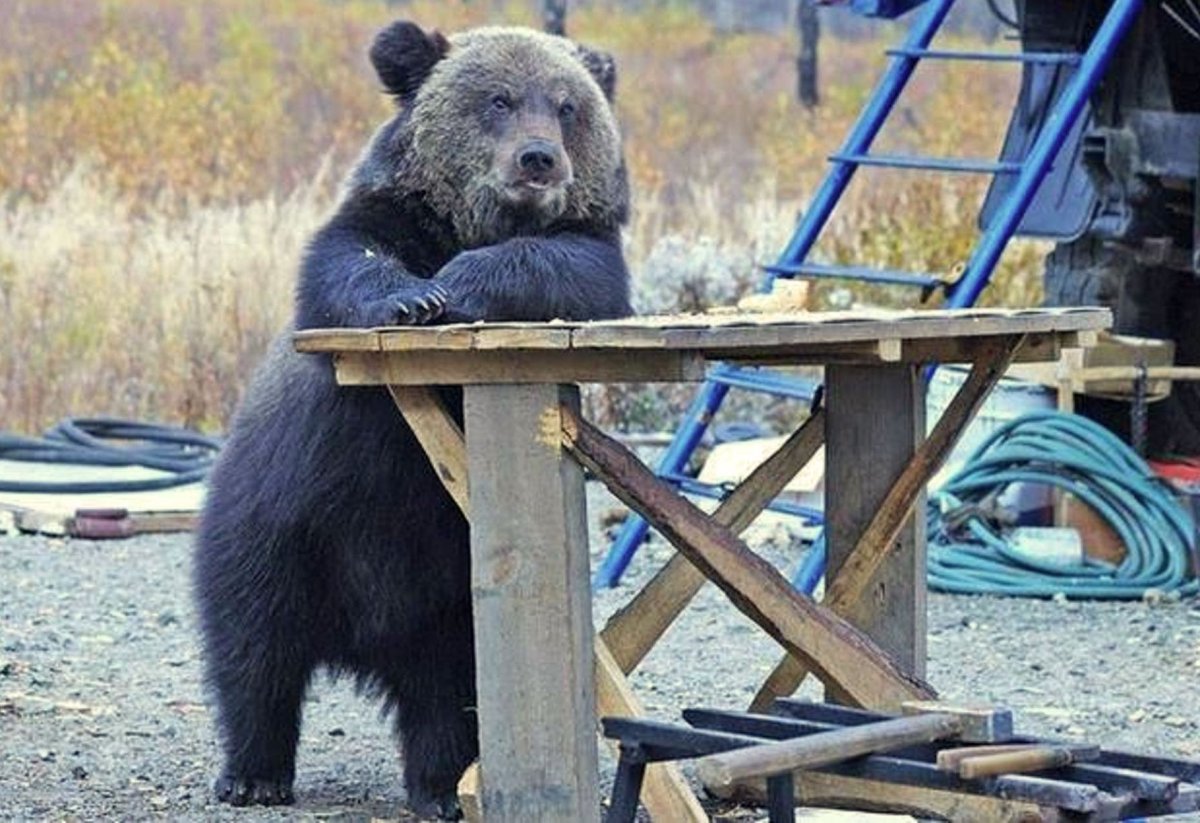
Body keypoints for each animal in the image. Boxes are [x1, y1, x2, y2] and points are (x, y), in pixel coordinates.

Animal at [191, 20, 631, 820]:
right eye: (498, 99)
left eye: (566, 105)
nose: (539, 158)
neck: (465, 224)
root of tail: (366, 640)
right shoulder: (381, 216)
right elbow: (346, 261)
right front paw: (414, 297)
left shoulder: (589, 250)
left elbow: (563, 266)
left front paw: (459, 285)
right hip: (279, 523)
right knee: (255, 645)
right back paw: (253, 772)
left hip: (447, 586)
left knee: (448, 692)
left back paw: (440, 789)